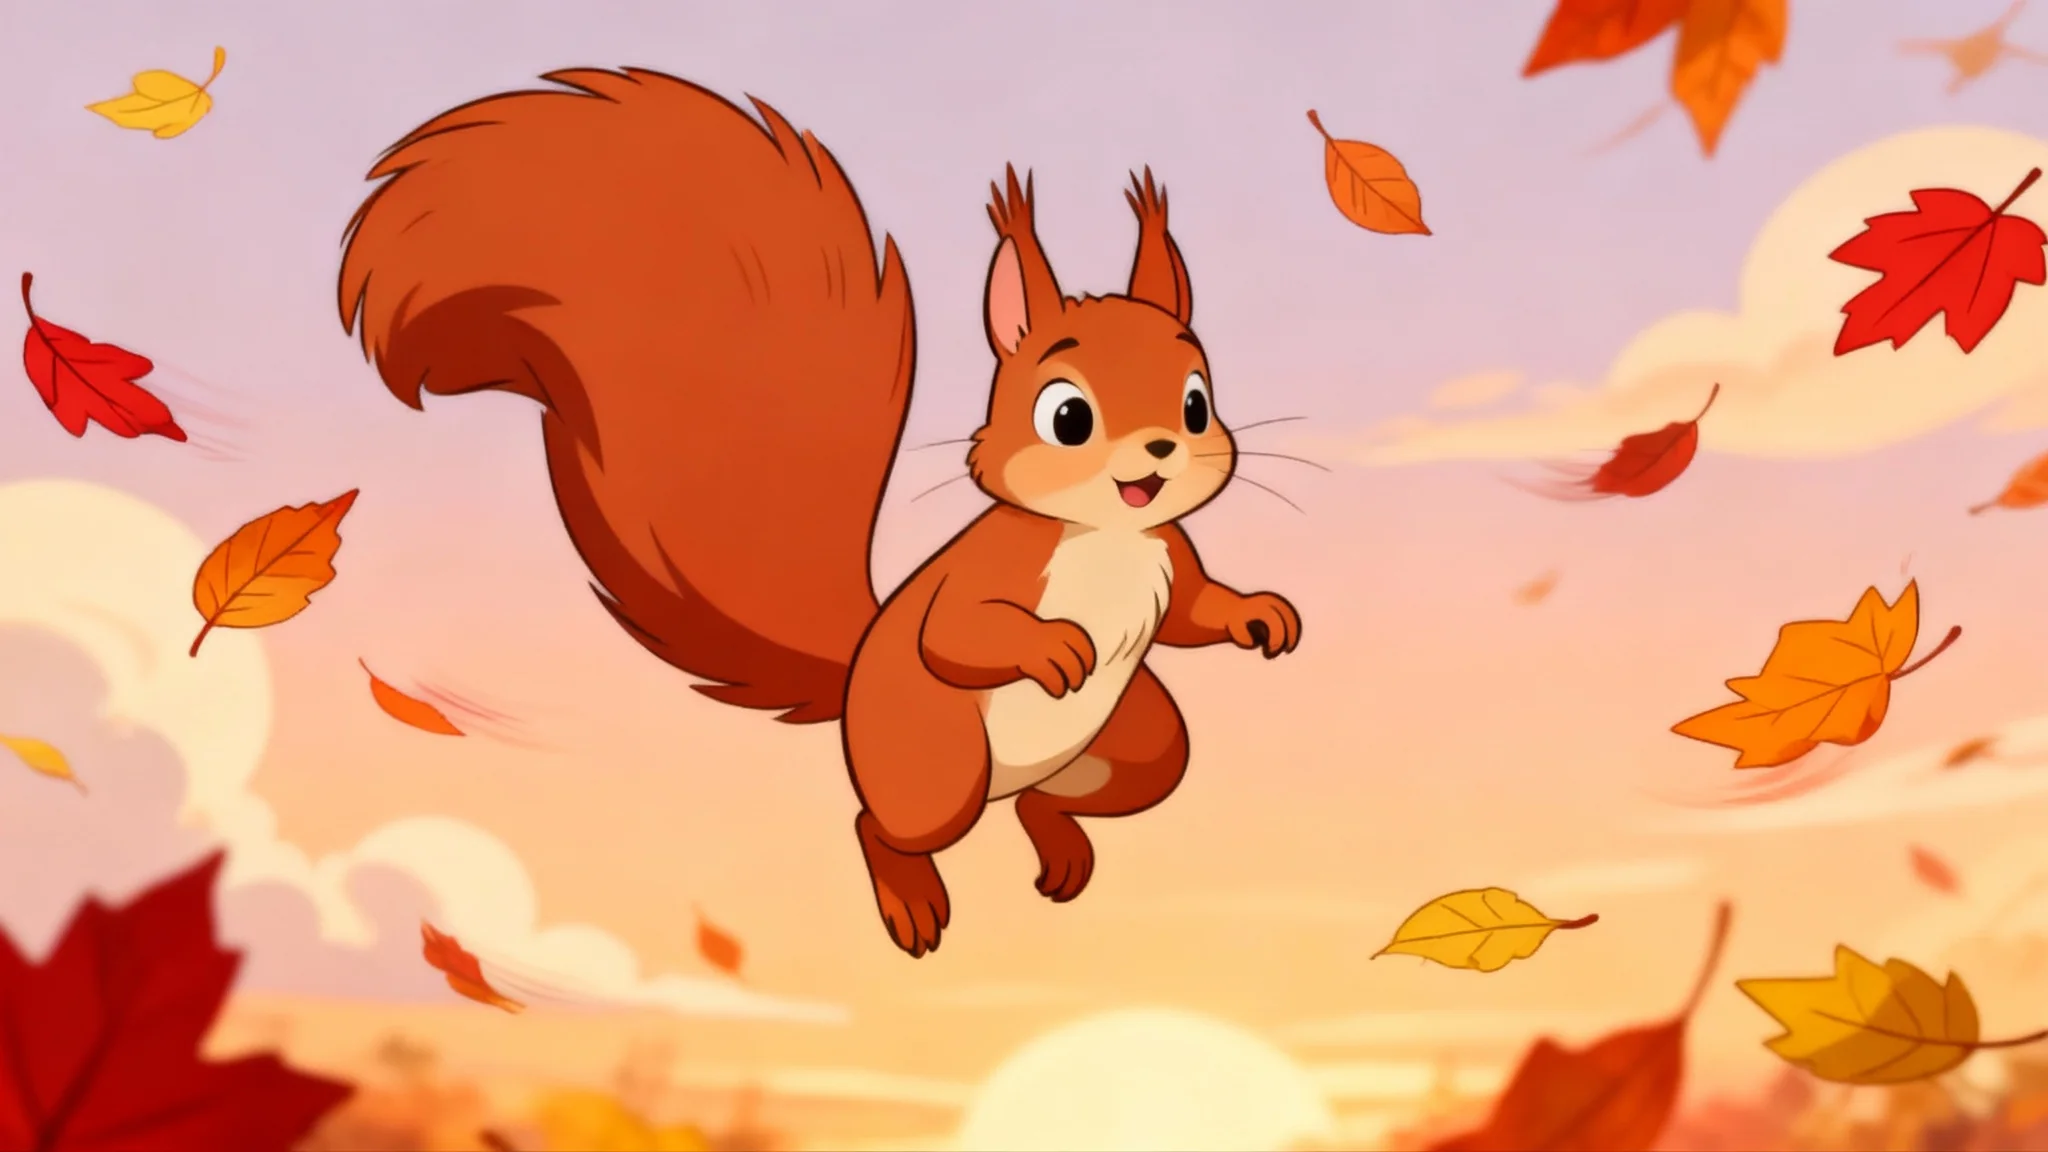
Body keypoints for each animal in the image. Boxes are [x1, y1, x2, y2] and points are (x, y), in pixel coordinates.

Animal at [337, 68, 1302, 958]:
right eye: (1066, 416)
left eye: (1196, 402)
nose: (1161, 451)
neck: (1107, 538)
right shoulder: (989, 571)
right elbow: (956, 634)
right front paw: (1050, 647)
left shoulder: (1170, 553)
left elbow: (1191, 612)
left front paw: (1258, 613)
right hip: (937, 766)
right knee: (881, 824)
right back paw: (912, 899)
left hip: (1147, 740)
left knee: (1054, 793)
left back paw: (1055, 839)